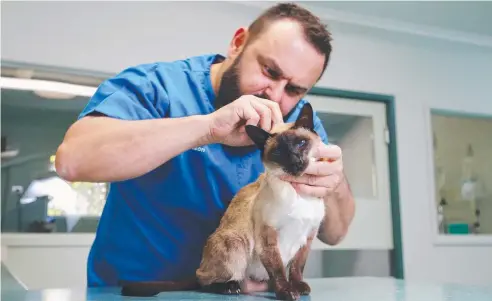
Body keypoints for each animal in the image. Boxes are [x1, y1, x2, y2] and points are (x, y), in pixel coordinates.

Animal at [120, 102, 326, 298]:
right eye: (278, 153)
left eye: (301, 143)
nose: (295, 162)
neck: (299, 193)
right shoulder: (268, 237)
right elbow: (278, 271)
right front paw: (287, 292)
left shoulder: (308, 237)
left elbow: (297, 268)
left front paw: (299, 287)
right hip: (236, 246)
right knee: (204, 280)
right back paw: (230, 287)